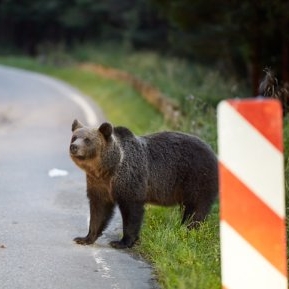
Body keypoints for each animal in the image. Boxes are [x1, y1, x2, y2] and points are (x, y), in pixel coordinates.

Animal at [70, 119, 217, 248]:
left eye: (87, 139)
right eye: (74, 137)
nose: (74, 147)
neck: (107, 169)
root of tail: (213, 153)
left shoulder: (129, 180)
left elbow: (132, 211)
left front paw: (122, 242)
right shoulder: (98, 184)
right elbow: (99, 210)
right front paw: (84, 238)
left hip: (197, 177)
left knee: (196, 209)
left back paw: (187, 230)